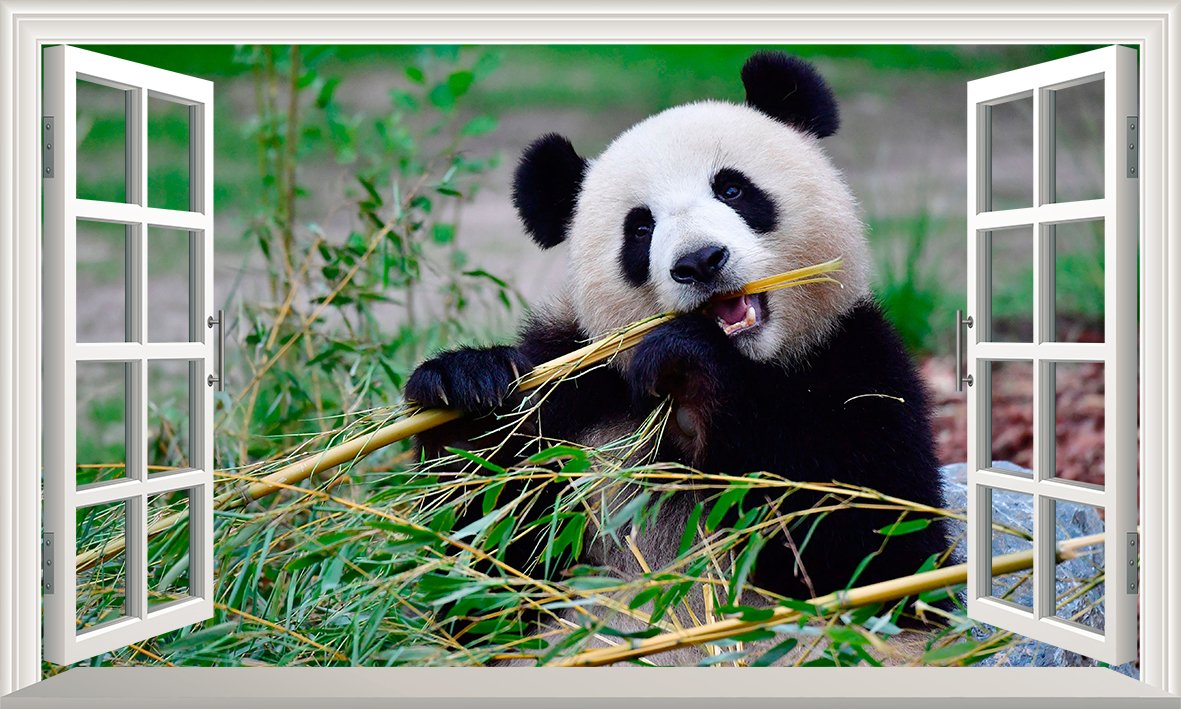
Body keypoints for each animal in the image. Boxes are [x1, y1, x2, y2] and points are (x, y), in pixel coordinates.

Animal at [405, 51, 948, 661]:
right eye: (640, 227)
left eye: (732, 189)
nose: (700, 261)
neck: (756, 366)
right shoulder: (573, 398)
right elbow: (480, 584)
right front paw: (464, 390)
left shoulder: (860, 363)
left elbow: (881, 550)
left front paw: (690, 370)